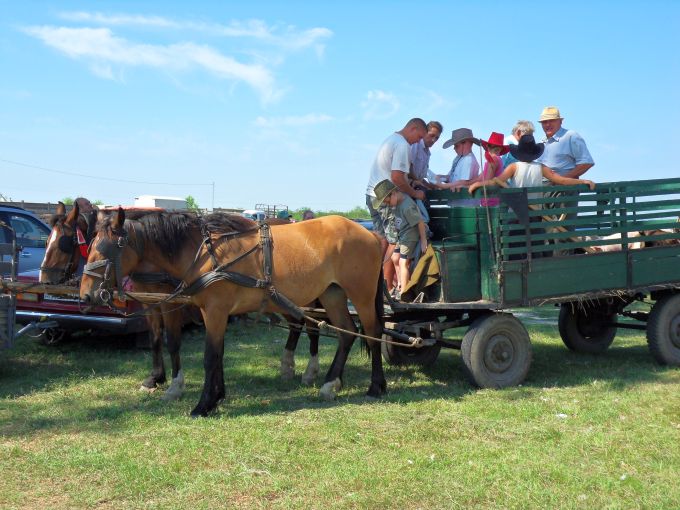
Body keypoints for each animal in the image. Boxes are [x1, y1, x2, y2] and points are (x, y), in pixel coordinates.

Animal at [79, 209, 386, 416]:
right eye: (89, 246)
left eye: (103, 249)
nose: (85, 295)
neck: (204, 253)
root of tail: (371, 233)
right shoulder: (215, 312)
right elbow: (218, 354)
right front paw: (217, 397)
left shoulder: (214, 310)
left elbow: (208, 356)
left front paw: (202, 404)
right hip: (332, 293)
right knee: (347, 334)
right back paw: (329, 384)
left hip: (359, 294)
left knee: (372, 333)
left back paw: (376, 386)